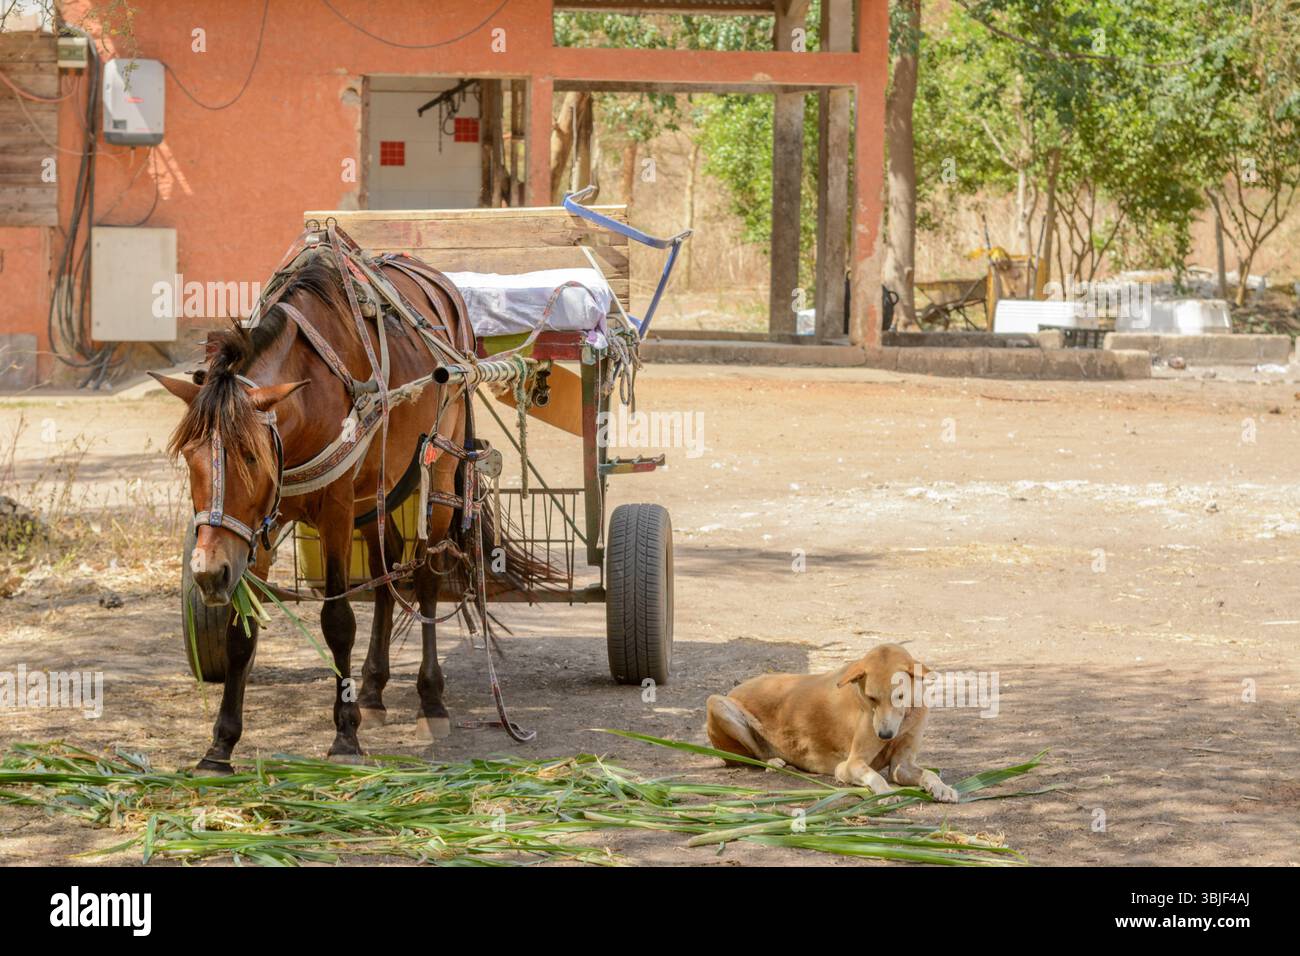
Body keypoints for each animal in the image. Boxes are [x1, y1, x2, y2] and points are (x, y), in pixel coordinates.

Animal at [153, 240, 553, 772]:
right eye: (189, 457)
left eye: (252, 456)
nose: (207, 572)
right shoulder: (258, 526)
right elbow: (243, 630)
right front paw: (221, 745)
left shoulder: (336, 509)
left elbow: (338, 621)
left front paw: (344, 736)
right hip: (378, 491)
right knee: (388, 570)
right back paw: (373, 690)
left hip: (439, 465)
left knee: (427, 574)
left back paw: (431, 699)